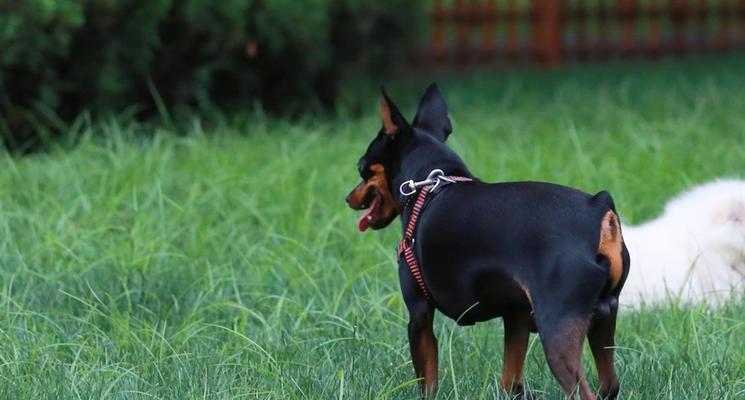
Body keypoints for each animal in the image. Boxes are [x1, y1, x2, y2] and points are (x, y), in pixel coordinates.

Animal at [348, 83, 628, 398]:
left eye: (361, 167)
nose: (349, 197)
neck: (430, 185)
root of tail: (599, 208)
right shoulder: (516, 316)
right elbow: (511, 381)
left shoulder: (419, 316)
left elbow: (428, 382)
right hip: (604, 316)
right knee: (609, 383)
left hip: (557, 330)